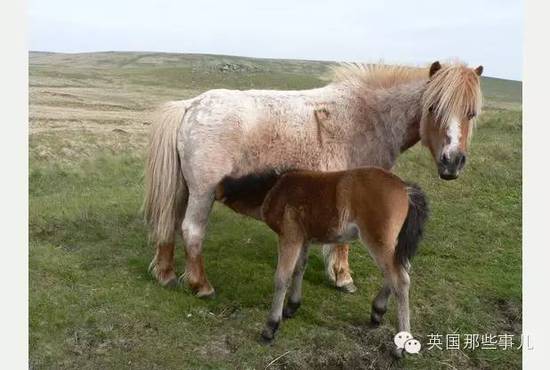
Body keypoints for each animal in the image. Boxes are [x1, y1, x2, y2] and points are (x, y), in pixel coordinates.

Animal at [143, 60, 484, 298]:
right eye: (433, 108)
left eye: (471, 113)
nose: (452, 162)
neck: (369, 116)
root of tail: (191, 106)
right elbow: (344, 241)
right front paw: (343, 277)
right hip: (203, 193)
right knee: (192, 231)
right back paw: (201, 285)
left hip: (184, 190)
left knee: (169, 222)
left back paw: (165, 275)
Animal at [216, 166, 432, 346]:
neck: (273, 188)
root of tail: (405, 188)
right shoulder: (304, 239)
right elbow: (299, 269)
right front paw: (292, 307)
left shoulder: (289, 237)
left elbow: (282, 278)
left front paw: (270, 328)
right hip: (394, 244)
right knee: (400, 269)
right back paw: (377, 312)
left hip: (378, 241)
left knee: (400, 279)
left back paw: (400, 346)